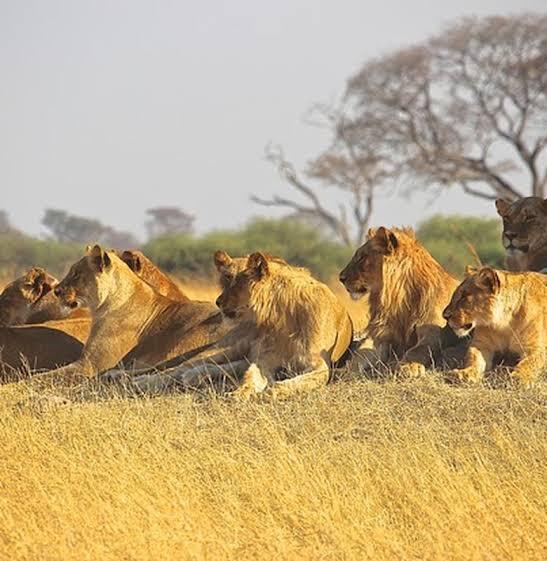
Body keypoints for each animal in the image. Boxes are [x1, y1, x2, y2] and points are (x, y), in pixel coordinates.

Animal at [340, 226, 464, 376]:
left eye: (362, 257)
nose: (341, 278)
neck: (399, 300)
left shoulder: (434, 333)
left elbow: (417, 350)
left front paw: (408, 366)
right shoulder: (381, 335)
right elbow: (360, 353)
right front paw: (346, 371)